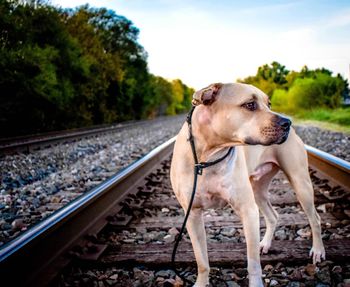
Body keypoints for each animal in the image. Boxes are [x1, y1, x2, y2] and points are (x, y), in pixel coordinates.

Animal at [170, 83, 326, 287]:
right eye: (250, 104)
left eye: (269, 104)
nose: (287, 123)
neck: (208, 155)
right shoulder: (193, 214)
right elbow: (201, 259)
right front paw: (201, 282)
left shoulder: (248, 210)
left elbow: (253, 264)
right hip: (257, 188)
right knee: (273, 215)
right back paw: (266, 244)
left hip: (300, 183)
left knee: (315, 218)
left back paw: (318, 250)